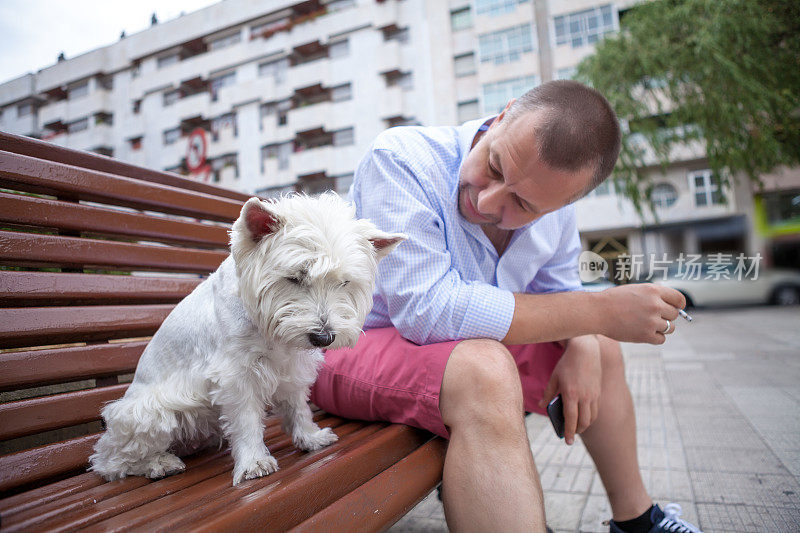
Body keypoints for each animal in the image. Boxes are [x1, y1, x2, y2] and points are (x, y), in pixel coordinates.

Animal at [89, 193, 406, 484]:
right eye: (295, 277)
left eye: (344, 282)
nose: (323, 337)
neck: (269, 330)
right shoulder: (236, 376)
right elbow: (246, 421)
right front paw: (254, 462)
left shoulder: (291, 368)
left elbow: (297, 407)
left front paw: (310, 437)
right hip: (147, 414)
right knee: (110, 461)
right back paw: (159, 463)